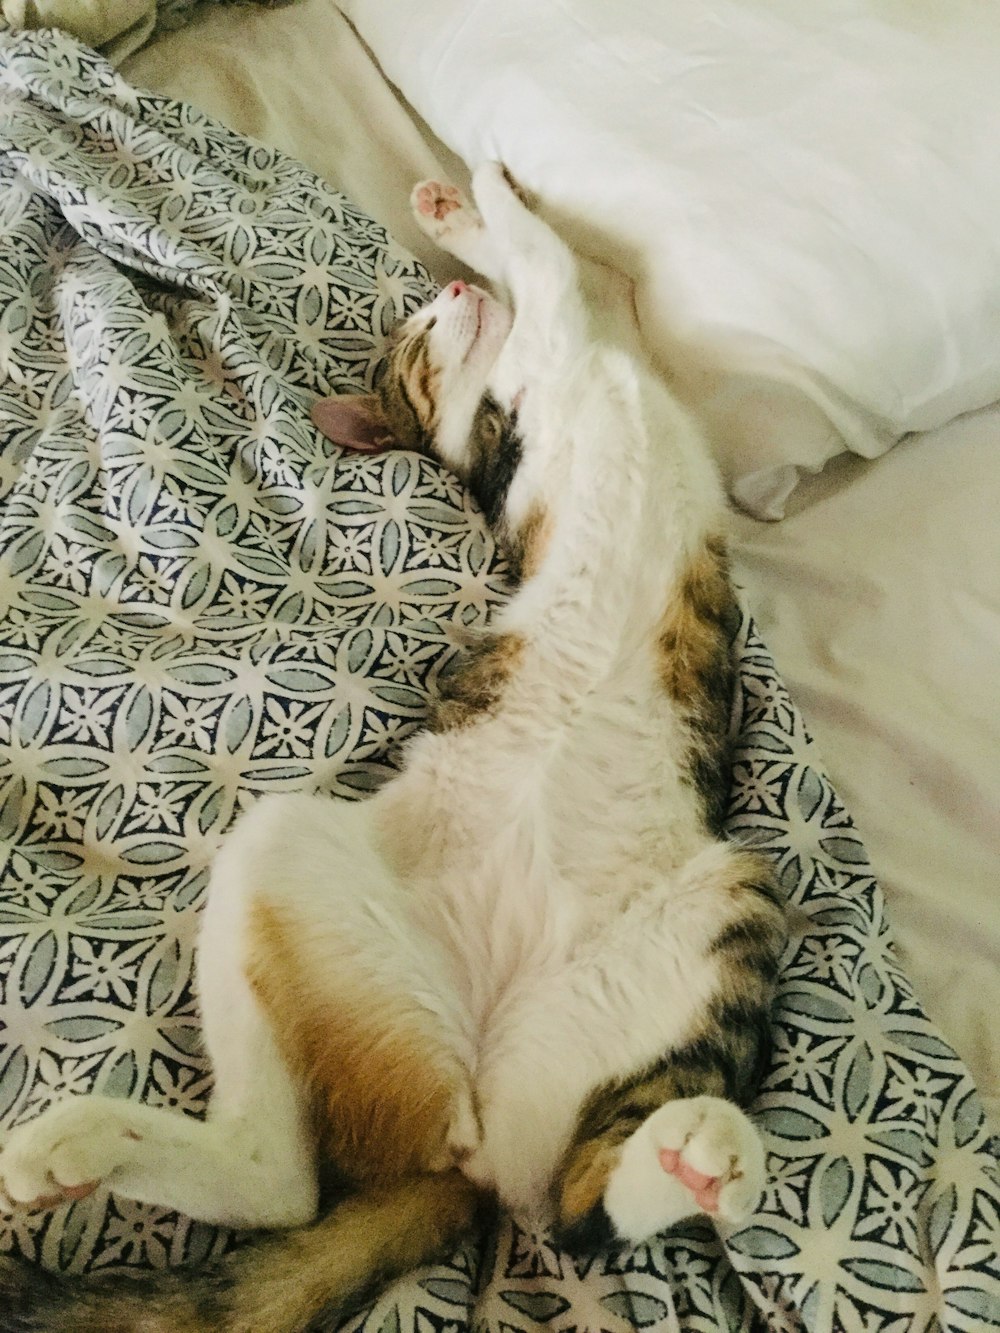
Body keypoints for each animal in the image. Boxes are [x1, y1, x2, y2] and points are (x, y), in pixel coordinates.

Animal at [0, 166, 789, 1333]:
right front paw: (475, 201)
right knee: (486, 1207)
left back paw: (687, 1155)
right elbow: (548, 261)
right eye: (414, 346)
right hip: (294, 853)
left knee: (553, 1196)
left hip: (718, 903)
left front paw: (468, 222)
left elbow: (549, 277)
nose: (447, 296)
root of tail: (467, 1113)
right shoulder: (551, 362)